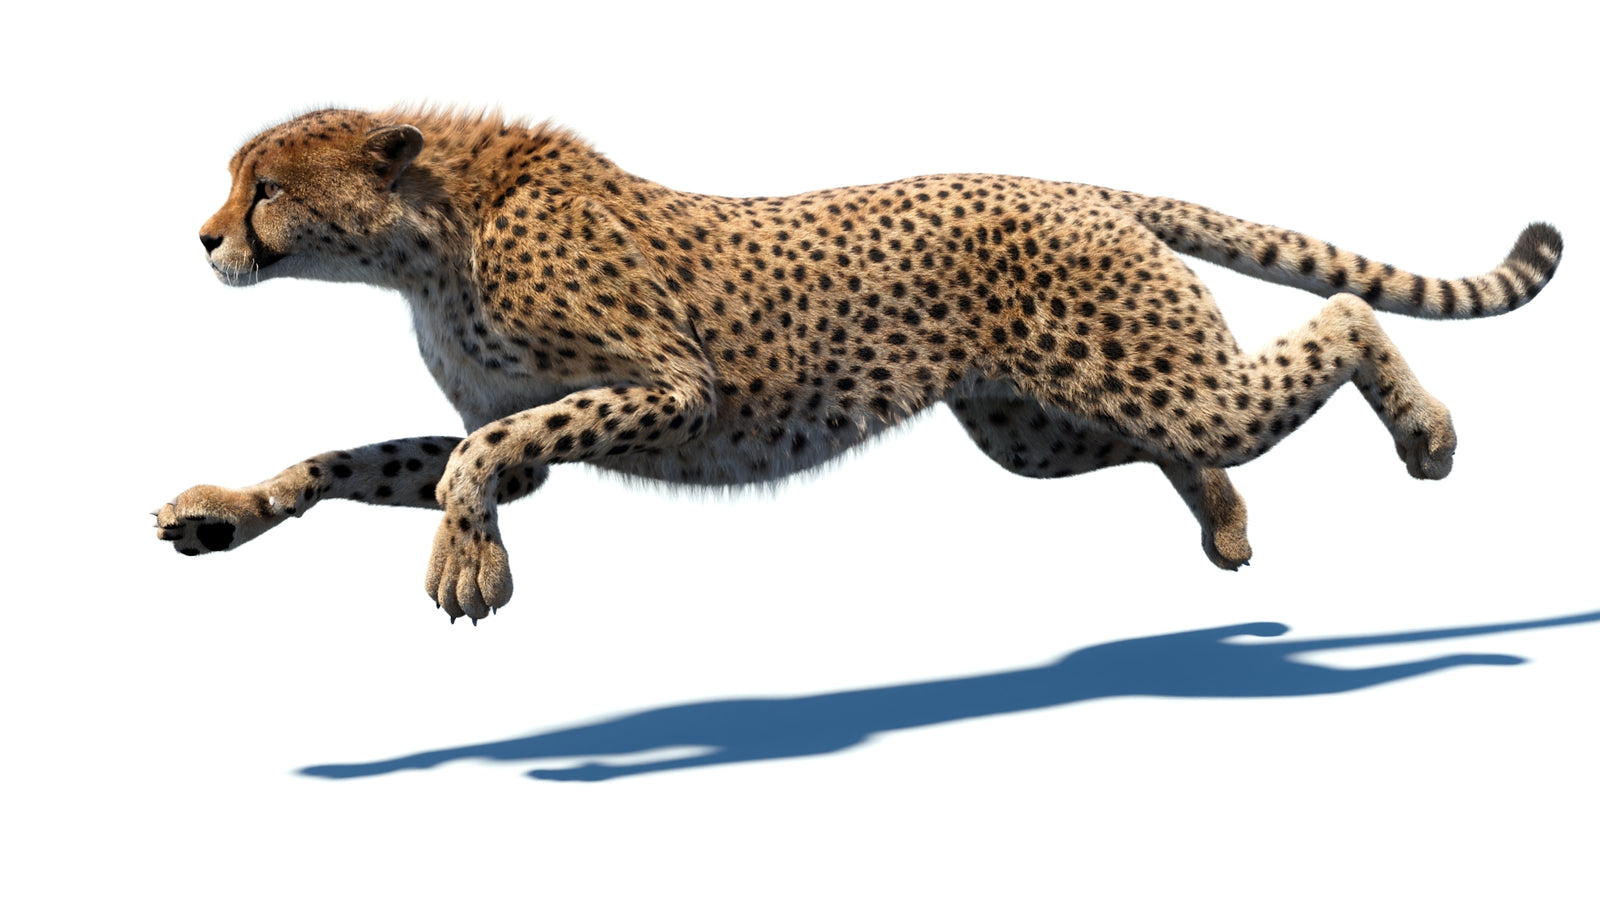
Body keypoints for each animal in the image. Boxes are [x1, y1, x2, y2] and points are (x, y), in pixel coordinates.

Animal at [157, 106, 1563, 623]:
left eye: (265, 187)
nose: (207, 237)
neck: (426, 239)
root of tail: (1073, 184)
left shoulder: (668, 389)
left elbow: (485, 458)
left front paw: (468, 563)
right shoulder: (538, 421)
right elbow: (362, 459)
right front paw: (224, 512)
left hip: (1147, 380)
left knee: (1343, 314)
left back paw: (1428, 435)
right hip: (1036, 430)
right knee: (1187, 447)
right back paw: (1224, 526)